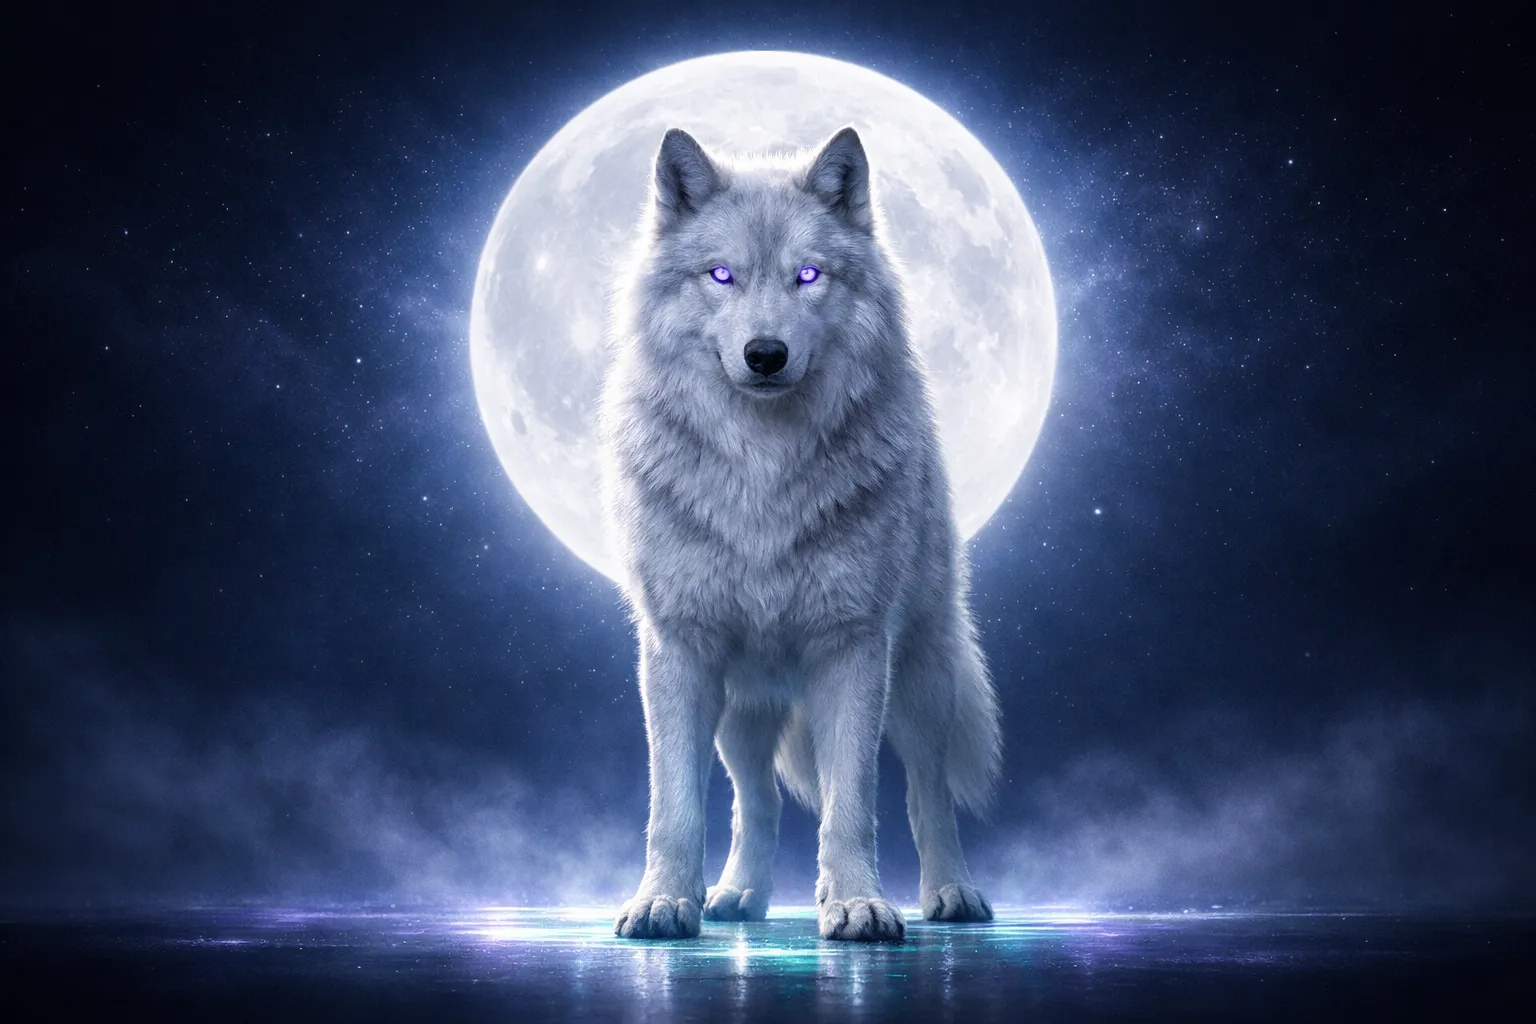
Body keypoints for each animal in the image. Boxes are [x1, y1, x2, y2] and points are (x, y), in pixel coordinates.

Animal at [598, 125, 1000, 942]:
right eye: (721, 275)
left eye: (807, 275)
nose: (765, 354)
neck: (762, 475)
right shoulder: (679, 653)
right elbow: (673, 807)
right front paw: (662, 903)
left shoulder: (852, 650)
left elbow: (854, 803)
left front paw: (857, 905)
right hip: (741, 713)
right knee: (759, 802)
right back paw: (738, 898)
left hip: (920, 680)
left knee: (928, 795)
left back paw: (950, 894)